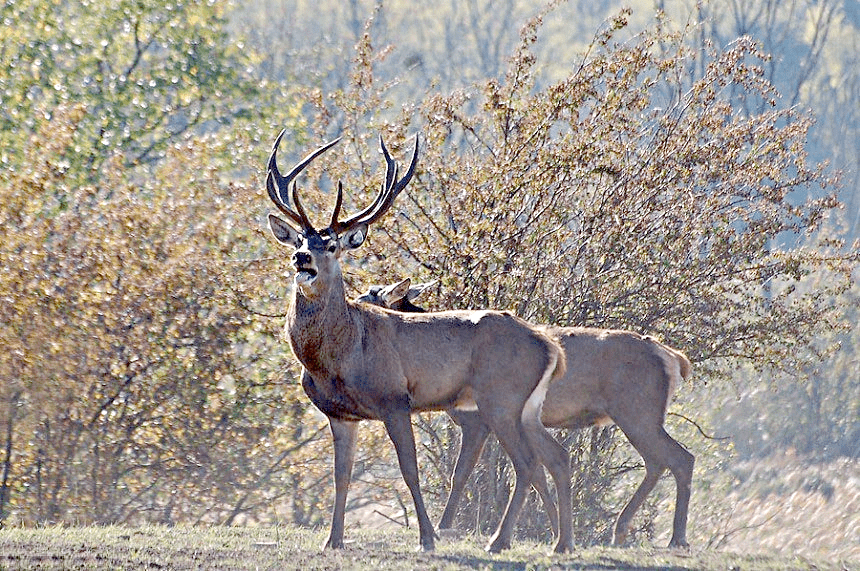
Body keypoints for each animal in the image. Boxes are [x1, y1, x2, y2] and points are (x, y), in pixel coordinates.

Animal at [260, 131, 572, 556]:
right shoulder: (340, 414)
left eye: (333, 246)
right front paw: (333, 539)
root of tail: (550, 347)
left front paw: (427, 537)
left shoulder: (394, 399)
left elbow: (410, 470)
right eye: (300, 241)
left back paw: (500, 541)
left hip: (500, 399)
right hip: (527, 408)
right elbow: (342, 476)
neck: (340, 356)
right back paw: (560, 541)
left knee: (527, 463)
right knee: (557, 455)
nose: (302, 258)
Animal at [360, 280, 696, 548]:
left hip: (637, 412)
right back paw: (624, 530)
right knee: (658, 461)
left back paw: (676, 538)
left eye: (369, 297)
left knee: (680, 458)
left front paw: (444, 527)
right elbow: (540, 474)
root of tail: (674, 358)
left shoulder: (477, 421)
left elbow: (462, 472)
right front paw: (555, 529)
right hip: (638, 416)